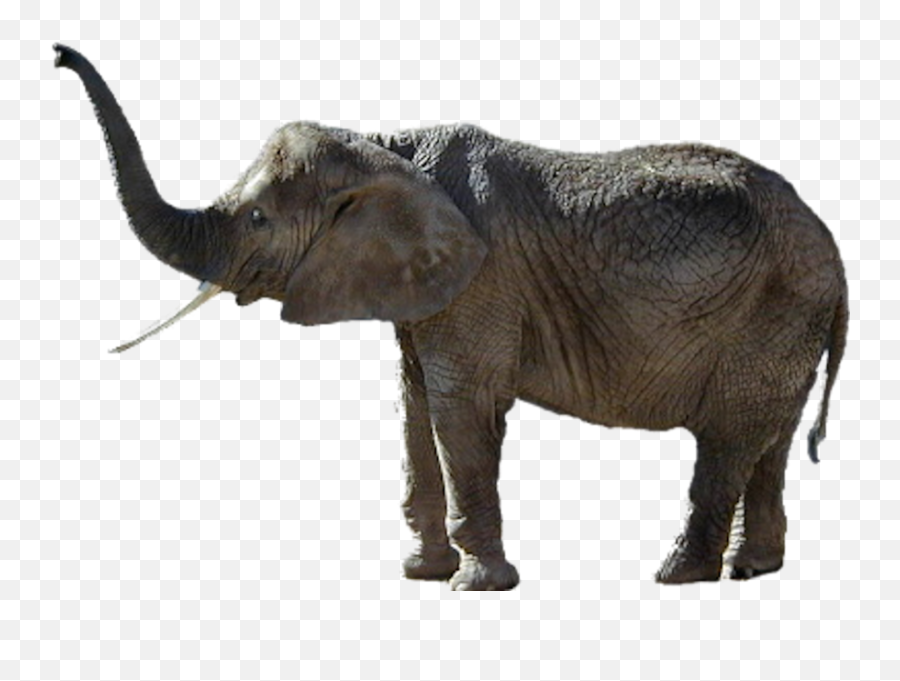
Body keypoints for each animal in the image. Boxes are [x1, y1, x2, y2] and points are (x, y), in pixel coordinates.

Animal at [55, 44, 847, 590]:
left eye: (256, 219)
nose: (58, 53)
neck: (388, 146)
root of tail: (833, 252)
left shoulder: (481, 281)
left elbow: (460, 406)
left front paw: (475, 585)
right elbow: (413, 408)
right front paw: (422, 574)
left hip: (772, 310)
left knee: (729, 437)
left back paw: (678, 575)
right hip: (787, 319)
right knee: (768, 442)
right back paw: (754, 569)